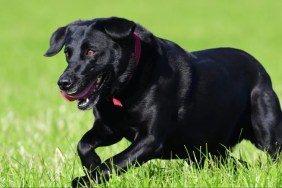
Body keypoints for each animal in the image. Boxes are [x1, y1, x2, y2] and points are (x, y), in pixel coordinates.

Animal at [44, 16, 282, 187]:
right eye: (67, 53)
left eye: (91, 51)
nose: (63, 83)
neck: (126, 88)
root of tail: (260, 68)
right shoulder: (110, 129)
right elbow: (83, 144)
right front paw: (92, 165)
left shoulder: (150, 139)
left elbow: (115, 162)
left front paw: (87, 179)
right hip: (207, 150)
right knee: (238, 164)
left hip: (266, 135)